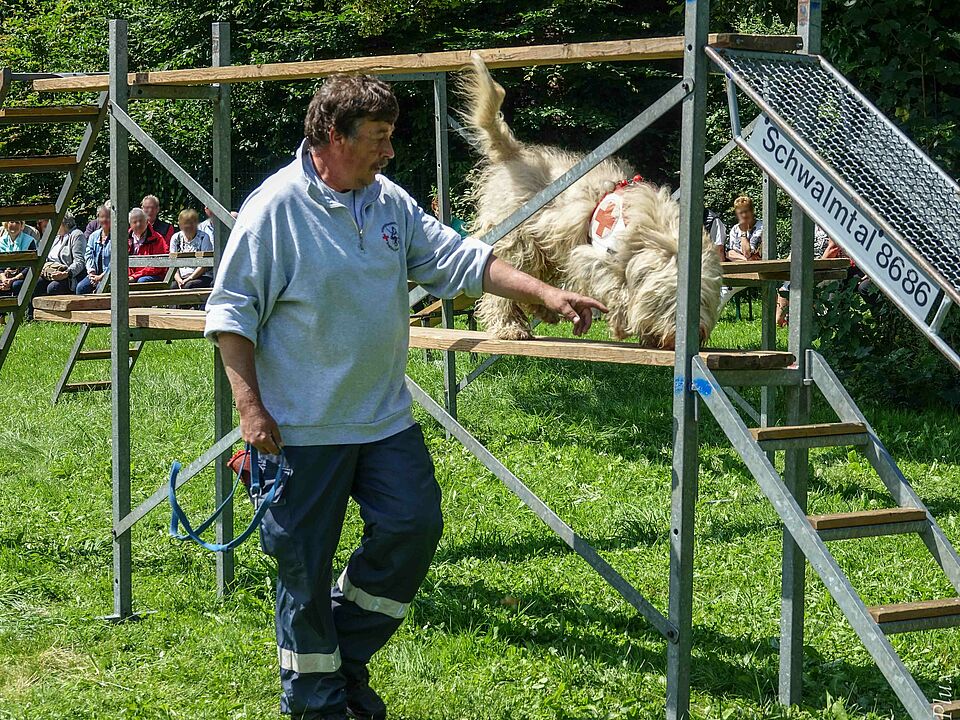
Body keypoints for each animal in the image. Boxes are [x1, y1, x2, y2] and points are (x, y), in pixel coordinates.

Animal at [460, 56, 720, 348]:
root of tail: (514, 154)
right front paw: (621, 324)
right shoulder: (592, 259)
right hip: (518, 242)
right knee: (504, 287)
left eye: (704, 301)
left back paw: (543, 311)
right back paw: (510, 327)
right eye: (672, 301)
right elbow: (616, 291)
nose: (697, 333)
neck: (656, 235)